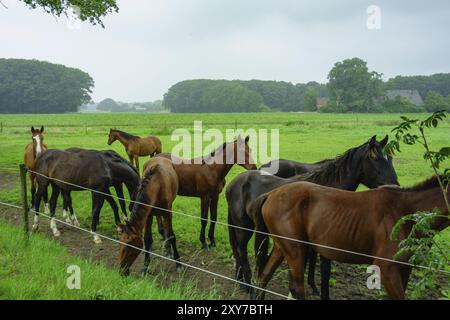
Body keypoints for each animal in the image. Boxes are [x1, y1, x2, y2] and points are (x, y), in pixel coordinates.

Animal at [227, 134, 400, 298]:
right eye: (375, 158)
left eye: (390, 158)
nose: (395, 186)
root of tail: (234, 182)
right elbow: (322, 272)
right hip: (243, 228)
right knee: (242, 253)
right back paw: (248, 288)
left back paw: (241, 282)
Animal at [255, 175, 448, 300]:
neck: (405, 212)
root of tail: (271, 194)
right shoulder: (387, 269)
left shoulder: (404, 267)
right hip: (296, 250)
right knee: (297, 289)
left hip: (282, 248)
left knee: (264, 276)